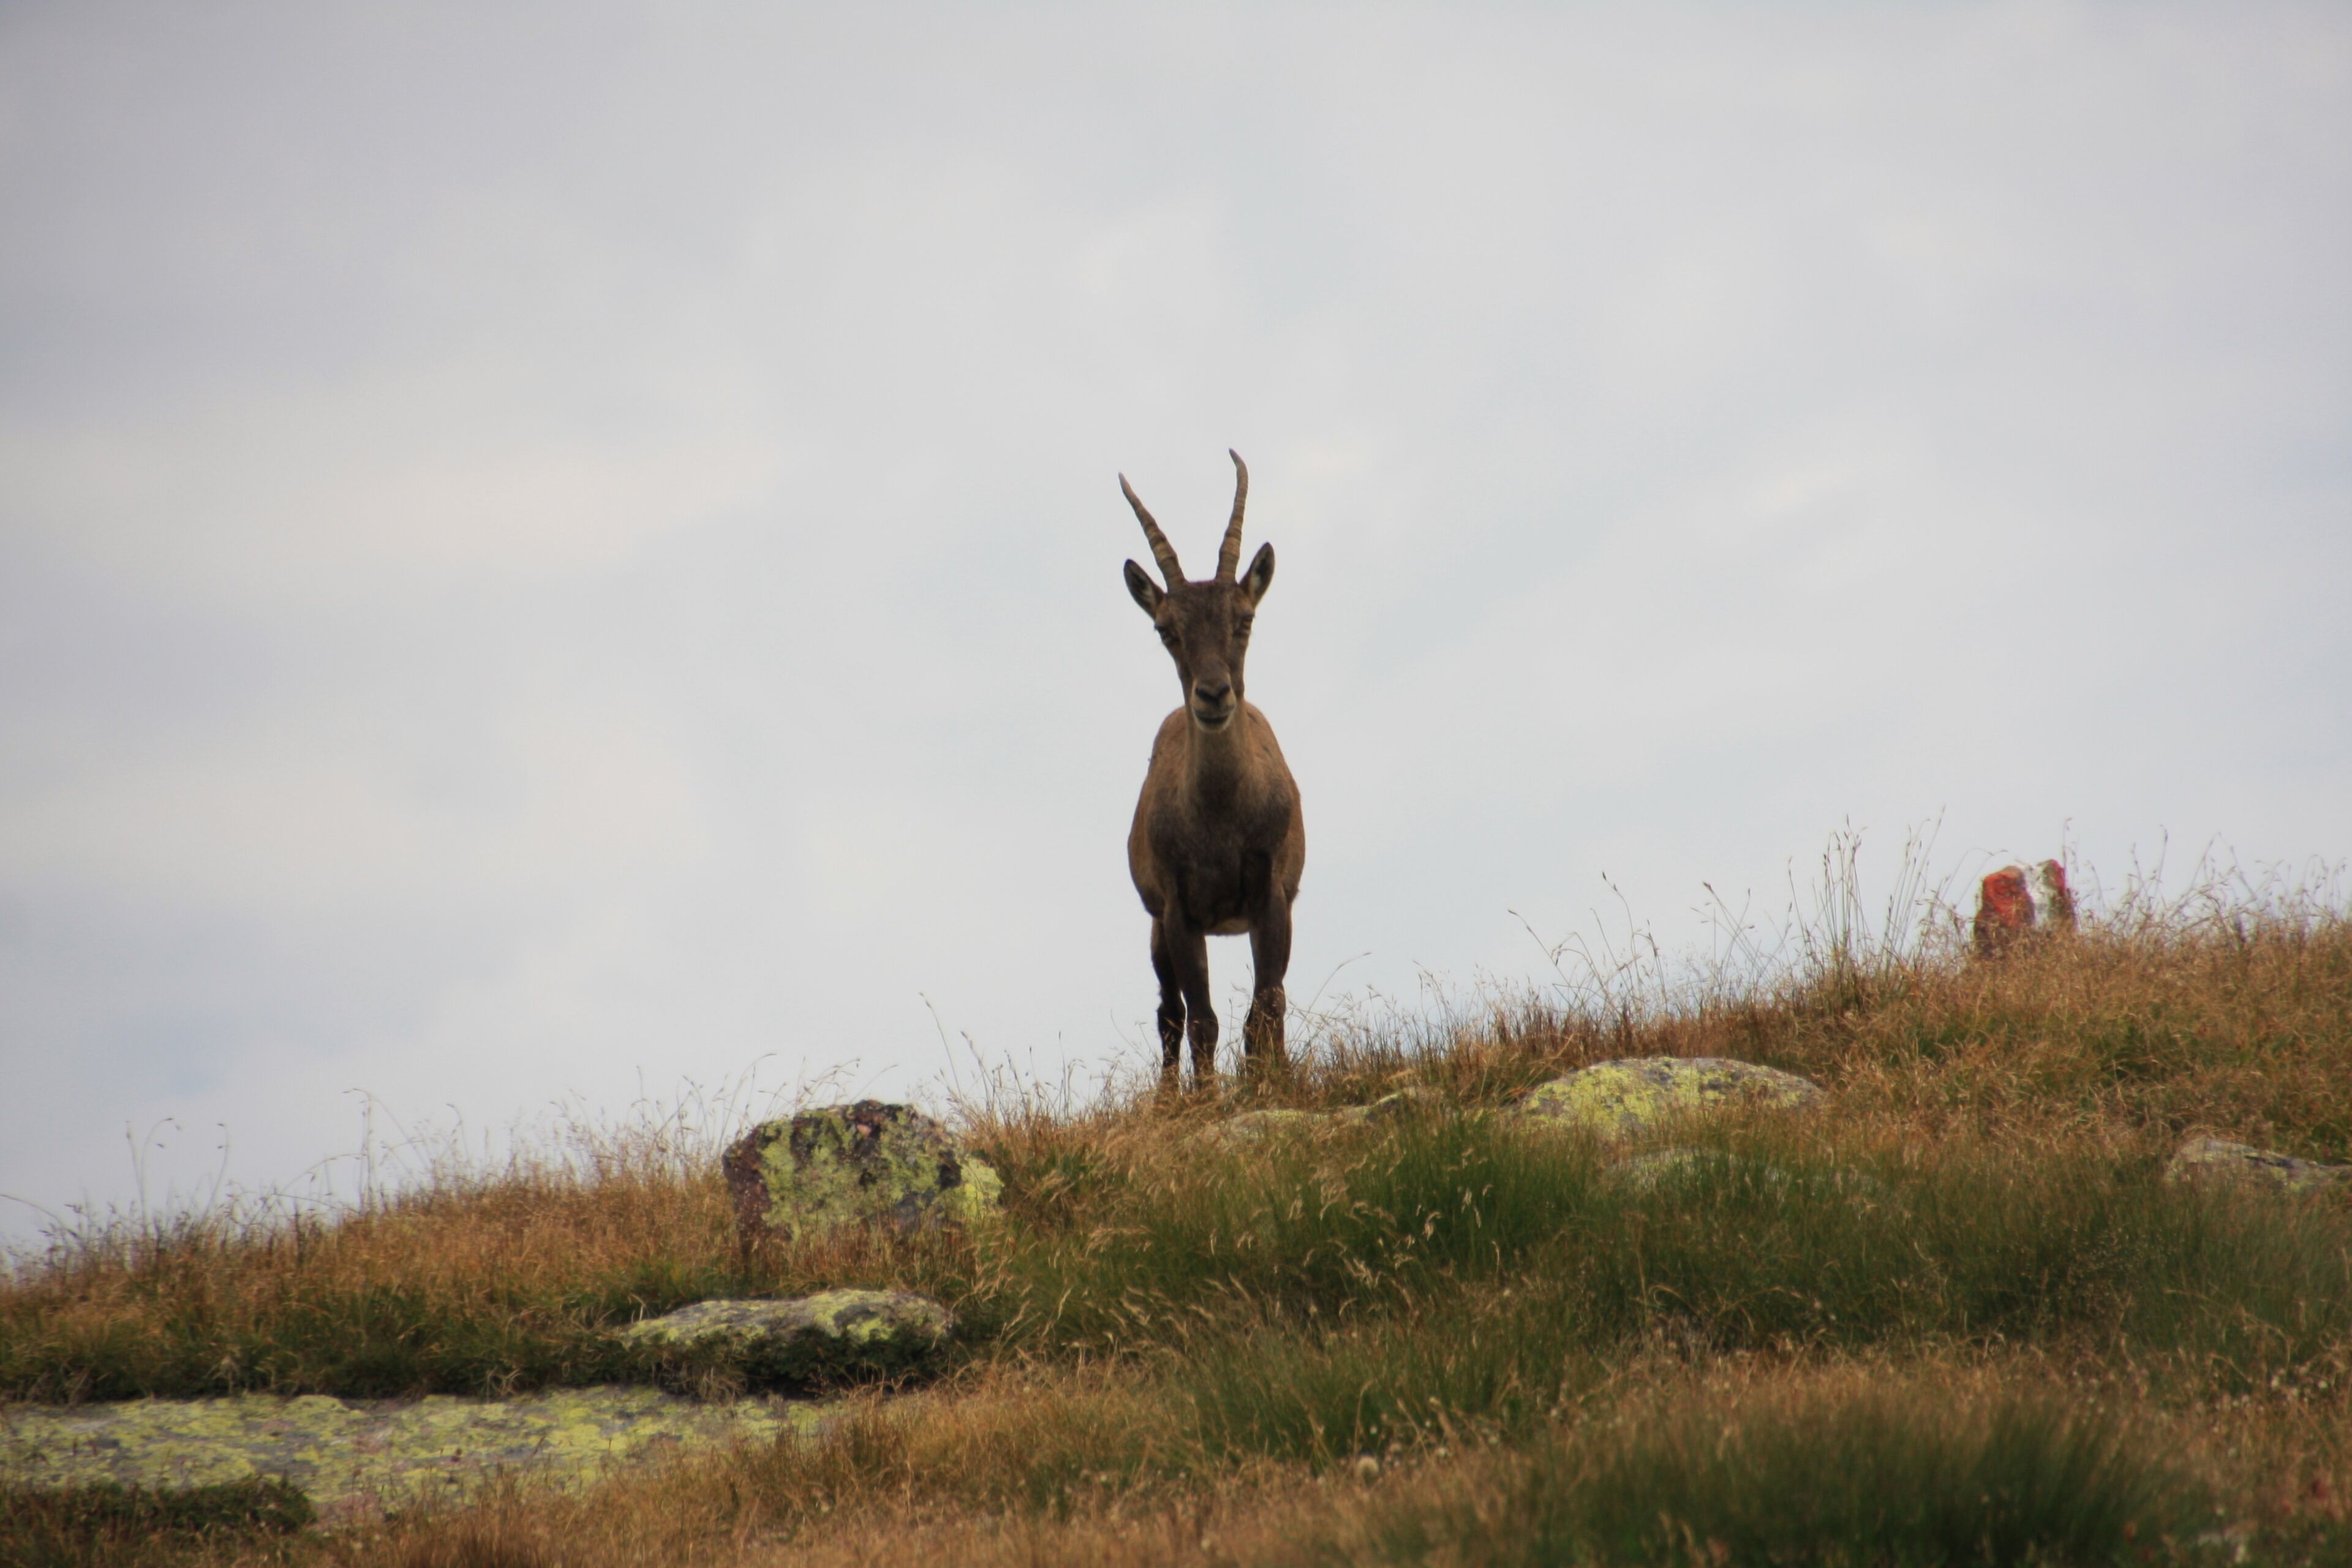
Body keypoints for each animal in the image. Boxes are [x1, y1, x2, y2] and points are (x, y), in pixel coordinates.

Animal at [1118, 451, 1305, 1088]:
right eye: (1165, 629)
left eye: (1244, 619)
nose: (1214, 695)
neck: (1223, 816)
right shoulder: (1180, 911)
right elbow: (1200, 1019)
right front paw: (1207, 1098)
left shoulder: (1272, 895)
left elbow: (1266, 1006)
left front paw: (1272, 1083)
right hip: (1155, 929)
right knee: (1168, 1014)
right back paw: (1170, 1097)